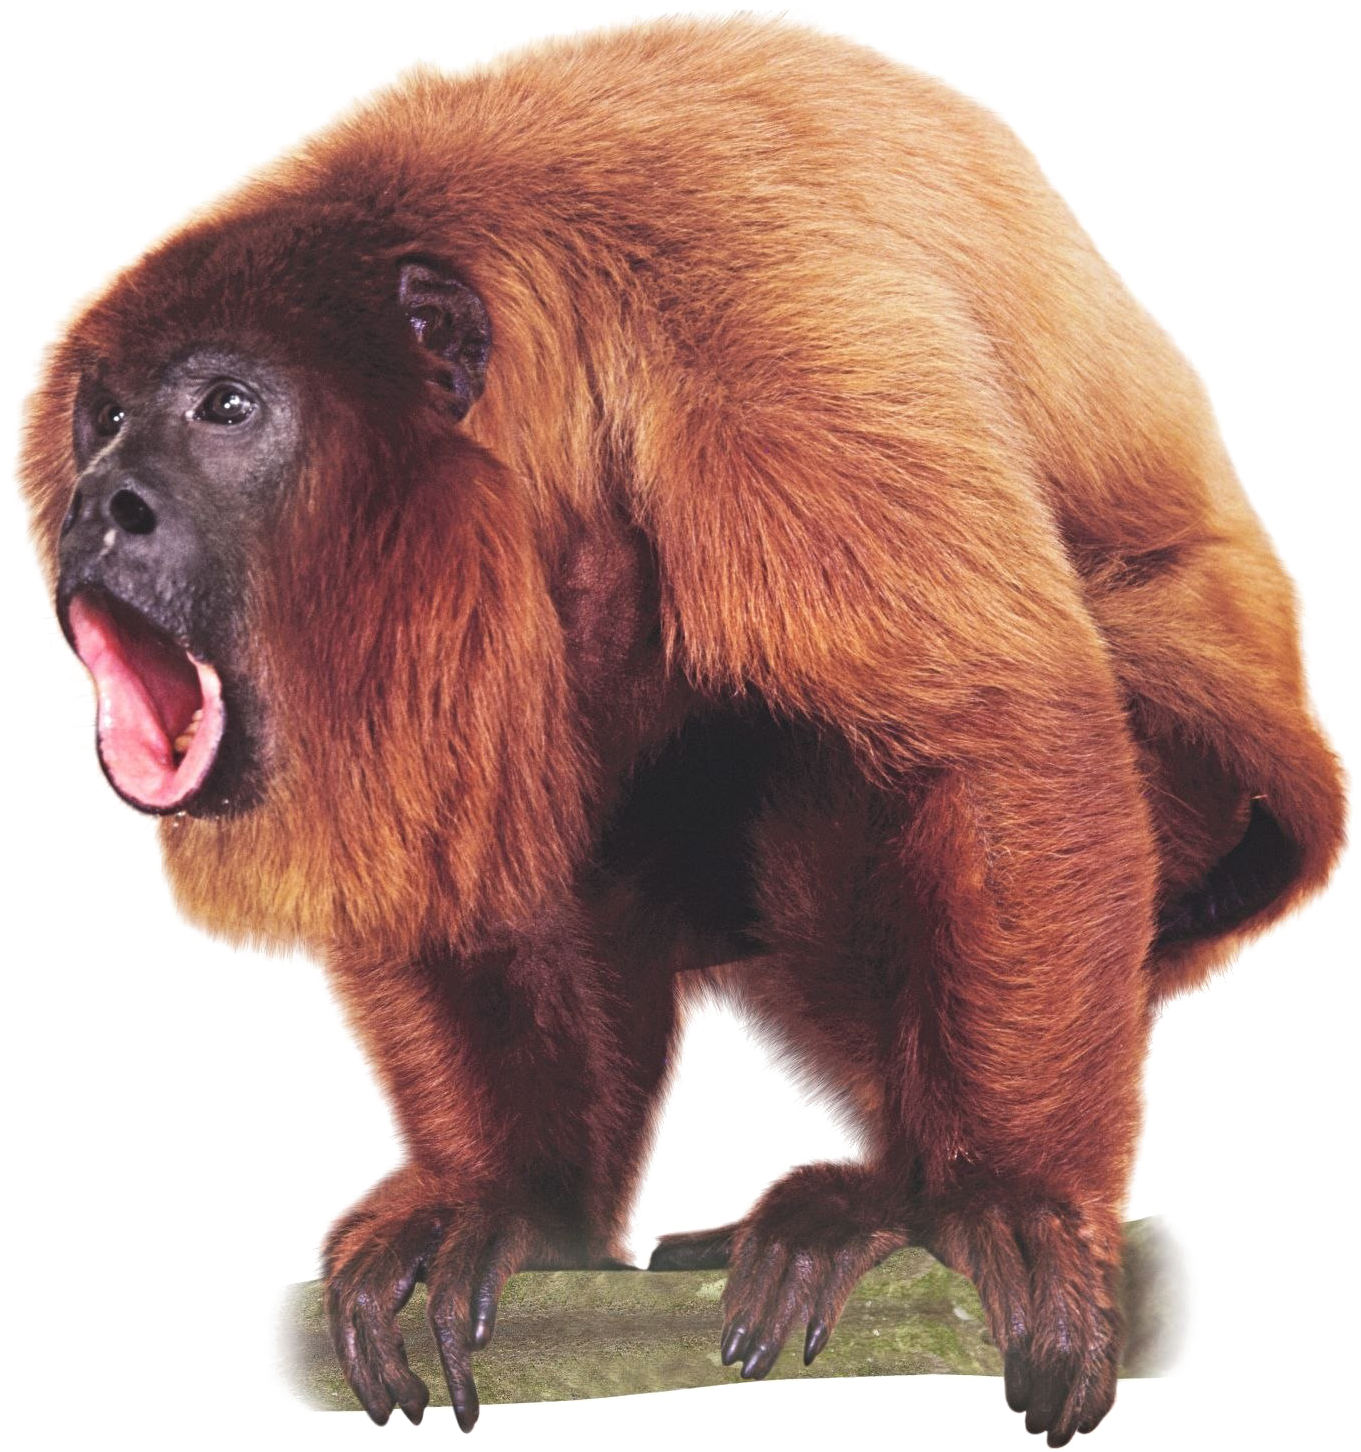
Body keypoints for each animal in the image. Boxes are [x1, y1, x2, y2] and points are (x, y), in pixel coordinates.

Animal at [11, 14, 1352, 1446]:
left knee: (829, 766)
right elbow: (434, 858)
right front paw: (500, 1200)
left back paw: (885, 1203)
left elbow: (996, 732)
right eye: (104, 419)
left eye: (225, 408)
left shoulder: (763, 353)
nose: (103, 503)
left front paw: (1003, 1199)